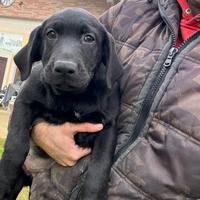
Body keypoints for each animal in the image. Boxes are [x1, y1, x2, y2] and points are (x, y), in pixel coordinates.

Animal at [0, 8, 122, 200]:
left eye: (89, 38)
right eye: (51, 34)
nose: (64, 68)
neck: (70, 97)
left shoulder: (108, 125)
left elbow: (100, 166)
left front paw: (92, 194)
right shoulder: (24, 101)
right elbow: (17, 142)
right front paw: (7, 172)